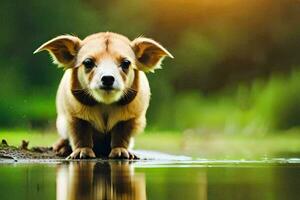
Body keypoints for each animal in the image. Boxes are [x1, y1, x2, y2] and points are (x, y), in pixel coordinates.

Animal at [33, 32, 172, 159]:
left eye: (126, 63)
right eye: (88, 62)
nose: (108, 78)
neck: (105, 103)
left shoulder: (131, 116)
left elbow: (122, 135)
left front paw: (122, 153)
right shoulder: (73, 115)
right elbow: (80, 133)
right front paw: (82, 153)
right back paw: (60, 148)